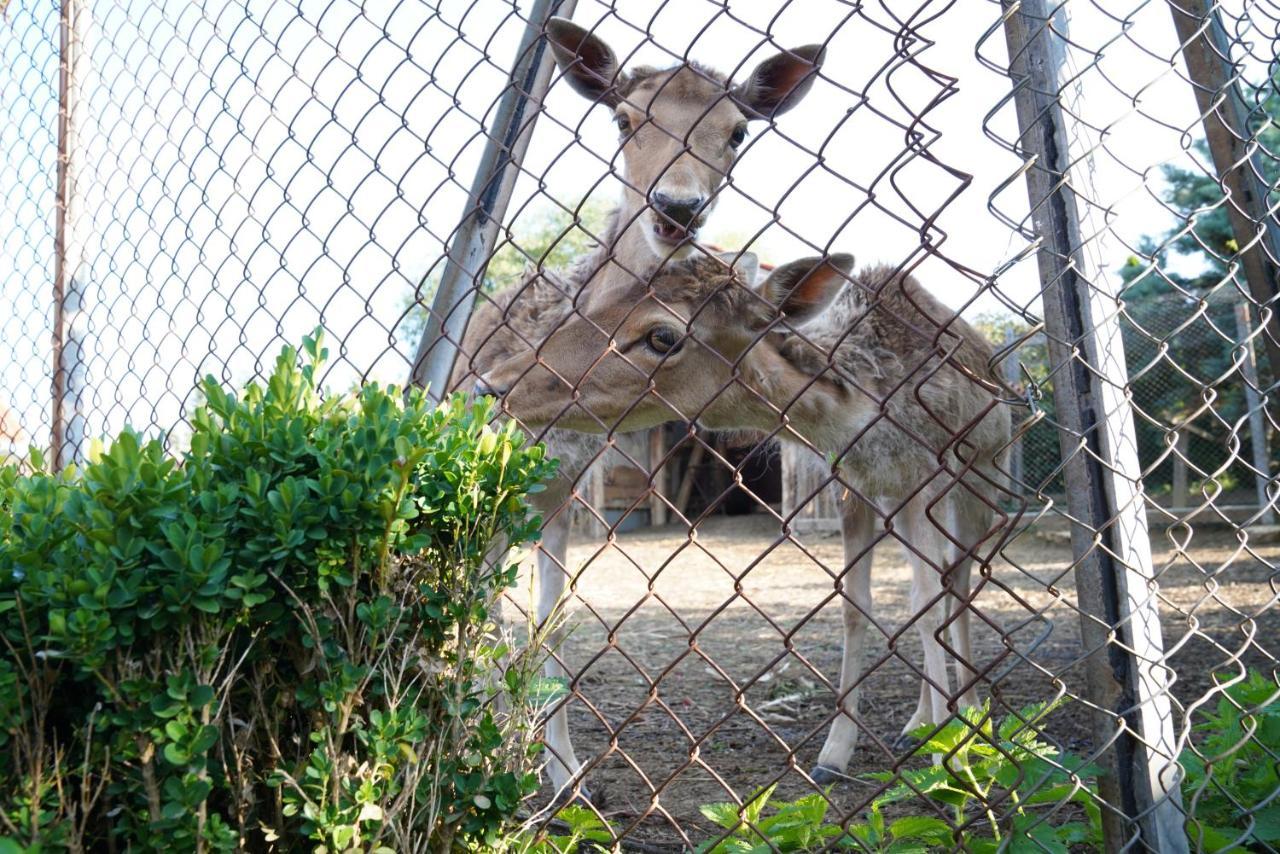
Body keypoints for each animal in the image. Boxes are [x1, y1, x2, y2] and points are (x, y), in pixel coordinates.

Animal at [448, 23, 829, 804]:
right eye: (625, 120)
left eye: (737, 130)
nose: (678, 207)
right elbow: (491, 620)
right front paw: (492, 762)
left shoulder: (561, 490)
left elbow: (552, 626)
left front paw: (566, 777)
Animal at [478, 250, 1008, 783]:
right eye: (597, 302)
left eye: (662, 335)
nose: (493, 384)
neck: (862, 410)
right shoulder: (851, 486)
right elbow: (855, 605)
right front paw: (835, 753)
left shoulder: (925, 472)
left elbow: (927, 604)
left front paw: (953, 757)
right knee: (948, 577)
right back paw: (922, 721)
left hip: (981, 475)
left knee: (960, 579)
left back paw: (966, 715)